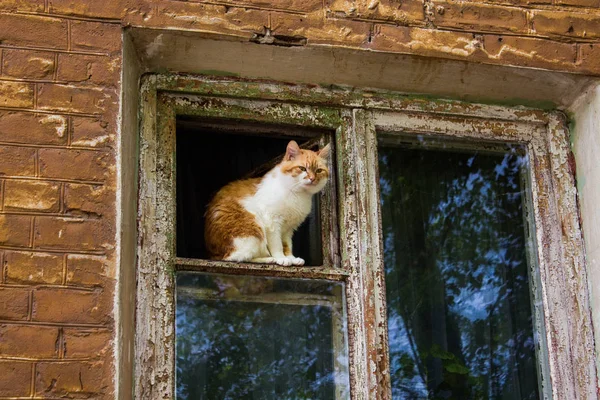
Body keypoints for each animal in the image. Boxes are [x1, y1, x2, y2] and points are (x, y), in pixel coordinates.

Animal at [205, 139, 328, 268]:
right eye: (302, 168)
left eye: (319, 170)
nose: (312, 178)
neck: (298, 194)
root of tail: (212, 254)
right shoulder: (272, 222)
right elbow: (277, 244)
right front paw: (281, 258)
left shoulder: (288, 229)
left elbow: (287, 245)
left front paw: (291, 258)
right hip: (253, 230)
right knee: (237, 258)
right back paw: (269, 259)